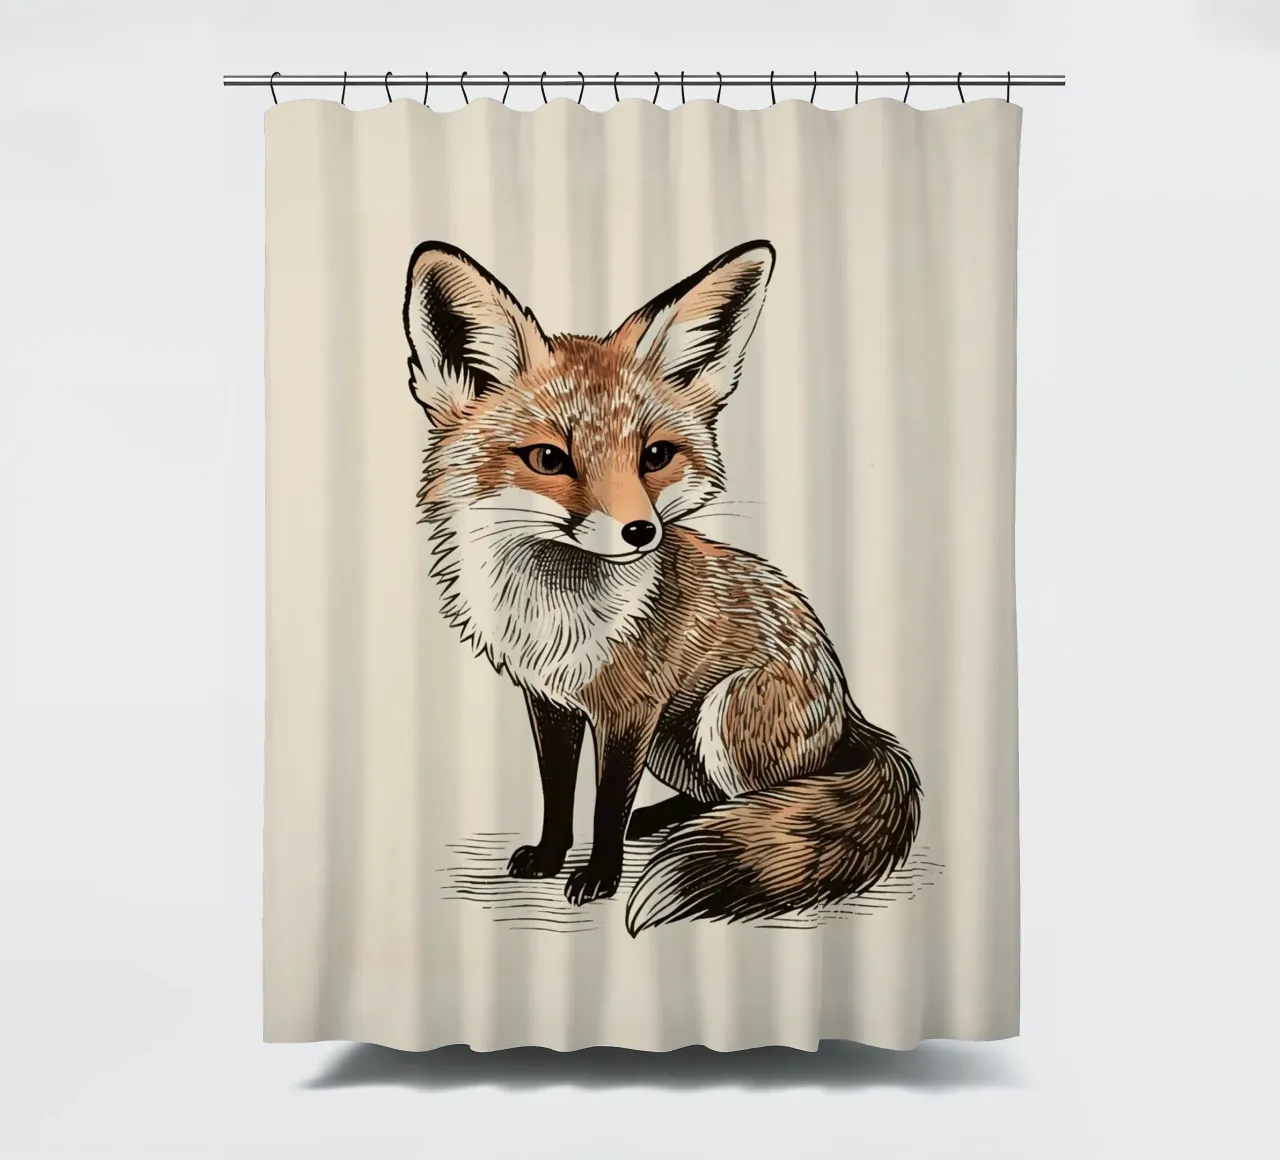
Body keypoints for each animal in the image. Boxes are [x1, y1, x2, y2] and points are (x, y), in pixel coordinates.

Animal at [402, 238, 921, 936]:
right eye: (548, 459)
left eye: (655, 456)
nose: (640, 531)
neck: (555, 613)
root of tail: (849, 712)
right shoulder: (550, 701)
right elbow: (559, 792)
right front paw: (549, 856)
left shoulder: (631, 708)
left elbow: (605, 805)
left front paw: (598, 876)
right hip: (677, 746)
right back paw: (665, 821)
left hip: (720, 715)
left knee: (773, 802)